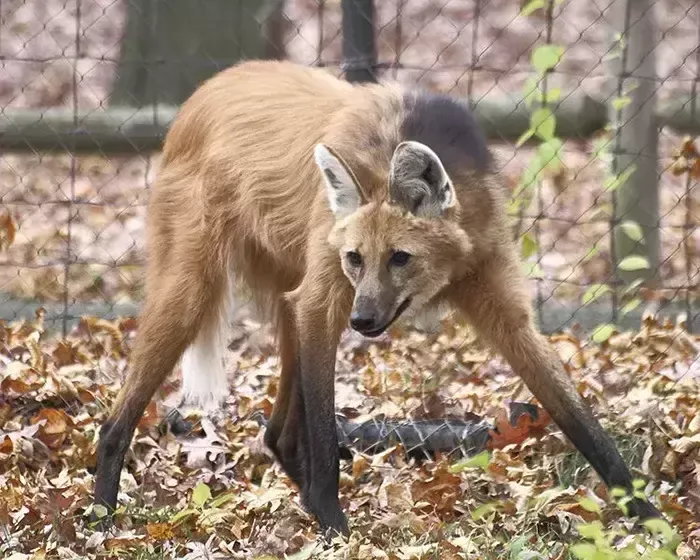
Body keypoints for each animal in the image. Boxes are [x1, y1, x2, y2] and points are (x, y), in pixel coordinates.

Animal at [93, 59, 660, 536]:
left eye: (400, 258)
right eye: (356, 258)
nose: (364, 321)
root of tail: (201, 93)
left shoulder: (500, 303)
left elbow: (580, 419)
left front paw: (650, 517)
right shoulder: (327, 299)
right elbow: (325, 429)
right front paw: (334, 527)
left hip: (288, 295)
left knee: (277, 432)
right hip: (196, 291)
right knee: (118, 418)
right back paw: (102, 517)